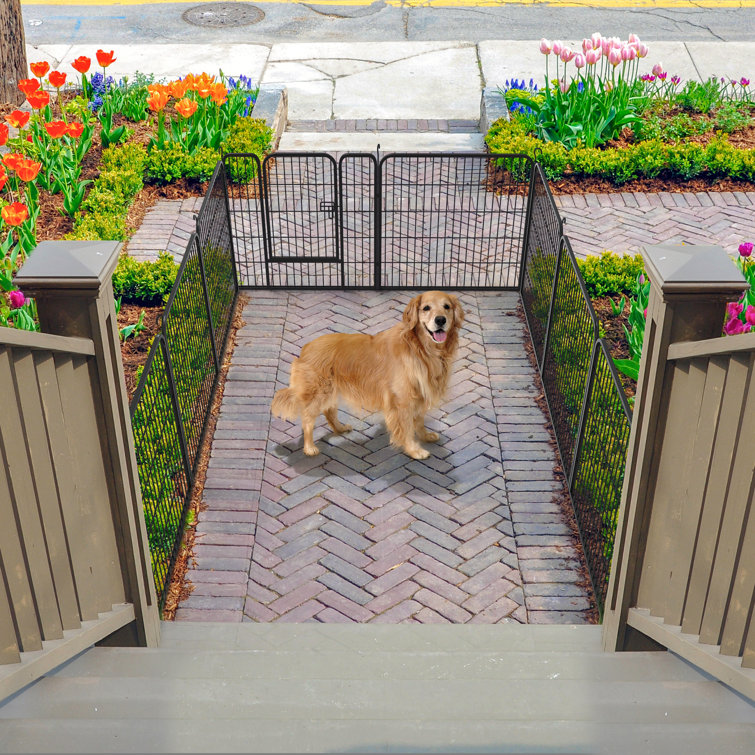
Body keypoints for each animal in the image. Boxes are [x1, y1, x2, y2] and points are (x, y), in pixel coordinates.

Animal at [268, 292, 464, 460]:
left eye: (446, 306)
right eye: (426, 308)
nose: (440, 320)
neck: (420, 349)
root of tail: (305, 348)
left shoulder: (419, 394)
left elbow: (419, 420)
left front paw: (424, 436)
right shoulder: (402, 400)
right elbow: (407, 427)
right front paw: (414, 450)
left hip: (330, 390)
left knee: (329, 411)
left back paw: (340, 428)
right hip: (318, 391)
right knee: (307, 419)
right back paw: (309, 448)